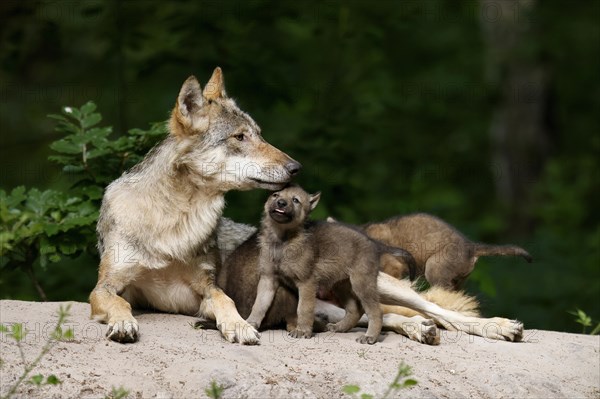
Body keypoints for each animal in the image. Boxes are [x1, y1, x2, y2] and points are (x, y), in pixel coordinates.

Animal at [89, 68, 302, 344]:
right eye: (240, 137)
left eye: (259, 134)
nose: (296, 167)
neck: (173, 219)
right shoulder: (104, 287)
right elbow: (118, 303)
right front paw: (123, 323)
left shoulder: (206, 287)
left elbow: (225, 300)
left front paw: (239, 325)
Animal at [246, 186, 414, 346]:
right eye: (275, 195)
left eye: (295, 200)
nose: (281, 203)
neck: (281, 241)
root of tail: (374, 243)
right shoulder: (268, 279)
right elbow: (259, 305)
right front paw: (249, 324)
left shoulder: (307, 283)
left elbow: (304, 309)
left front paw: (302, 331)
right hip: (341, 285)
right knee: (355, 310)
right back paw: (340, 327)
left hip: (361, 284)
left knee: (376, 312)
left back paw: (370, 337)